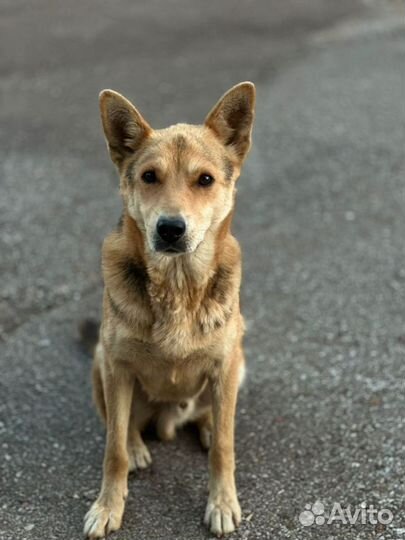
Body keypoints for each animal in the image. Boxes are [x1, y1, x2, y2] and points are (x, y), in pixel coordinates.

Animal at [82, 82, 256, 536]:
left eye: (205, 180)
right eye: (149, 177)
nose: (171, 229)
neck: (177, 287)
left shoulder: (225, 364)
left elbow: (225, 448)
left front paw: (222, 502)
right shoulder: (117, 367)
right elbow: (113, 450)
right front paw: (108, 507)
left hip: (238, 364)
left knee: (213, 417)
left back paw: (207, 425)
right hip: (100, 362)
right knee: (122, 425)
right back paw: (138, 444)